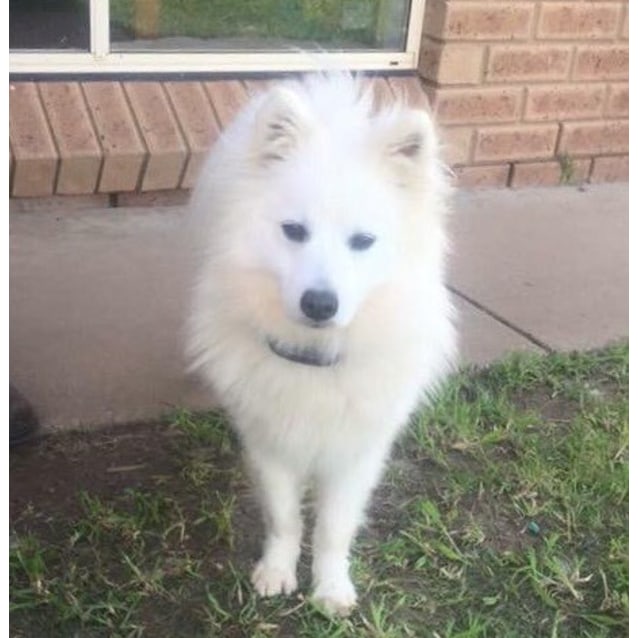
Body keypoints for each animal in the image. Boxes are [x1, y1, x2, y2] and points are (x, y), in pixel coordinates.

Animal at [186, 72, 460, 616]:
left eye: (363, 241)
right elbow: (285, 518)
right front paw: (277, 571)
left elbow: (334, 527)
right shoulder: (269, 442)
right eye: (294, 231)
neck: (314, 358)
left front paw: (331, 588)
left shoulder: (358, 451)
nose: (319, 303)